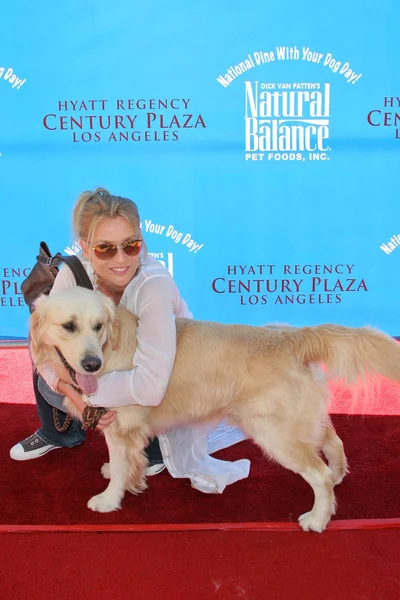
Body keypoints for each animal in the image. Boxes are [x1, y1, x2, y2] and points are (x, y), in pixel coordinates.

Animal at [28, 288, 400, 532]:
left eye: (98, 326)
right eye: (69, 326)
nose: (92, 364)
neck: (111, 346)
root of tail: (292, 336)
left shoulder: (122, 424)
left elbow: (121, 467)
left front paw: (108, 500)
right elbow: (124, 463)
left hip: (275, 433)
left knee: (318, 474)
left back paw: (318, 518)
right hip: (302, 421)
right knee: (334, 443)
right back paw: (338, 478)